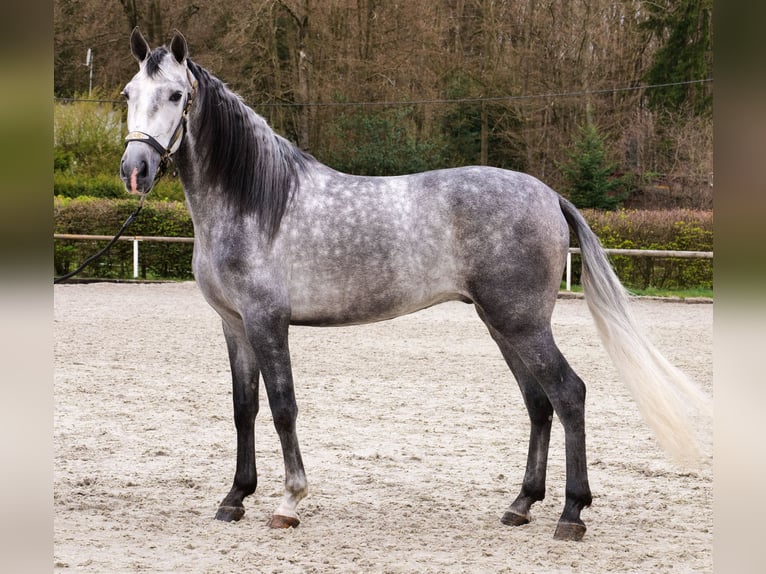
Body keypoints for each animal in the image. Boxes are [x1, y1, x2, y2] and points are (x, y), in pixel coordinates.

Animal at [119, 28, 711, 541]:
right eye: (128, 94)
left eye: (176, 94)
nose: (135, 169)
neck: (258, 202)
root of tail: (548, 195)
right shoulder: (234, 325)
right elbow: (245, 409)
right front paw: (235, 498)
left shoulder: (268, 321)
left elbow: (284, 406)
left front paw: (289, 502)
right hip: (502, 325)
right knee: (538, 403)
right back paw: (522, 504)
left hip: (522, 323)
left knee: (568, 394)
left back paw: (571, 514)